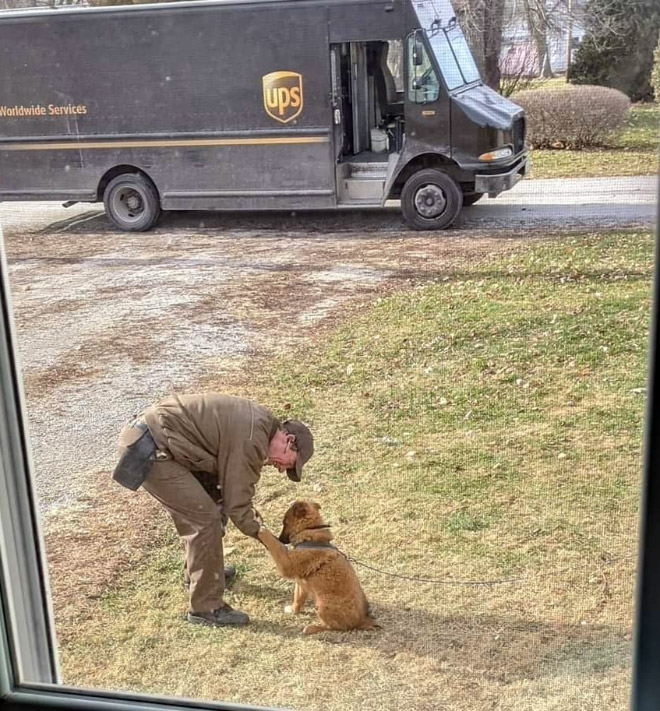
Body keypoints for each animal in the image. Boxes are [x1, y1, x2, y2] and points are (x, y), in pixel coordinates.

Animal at [258, 498, 376, 636]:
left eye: (285, 522)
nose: (281, 539)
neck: (310, 531)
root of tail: (362, 620)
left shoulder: (286, 564)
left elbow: (274, 545)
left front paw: (263, 531)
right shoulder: (301, 584)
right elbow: (298, 598)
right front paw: (293, 610)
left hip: (322, 604)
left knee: (336, 627)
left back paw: (312, 627)